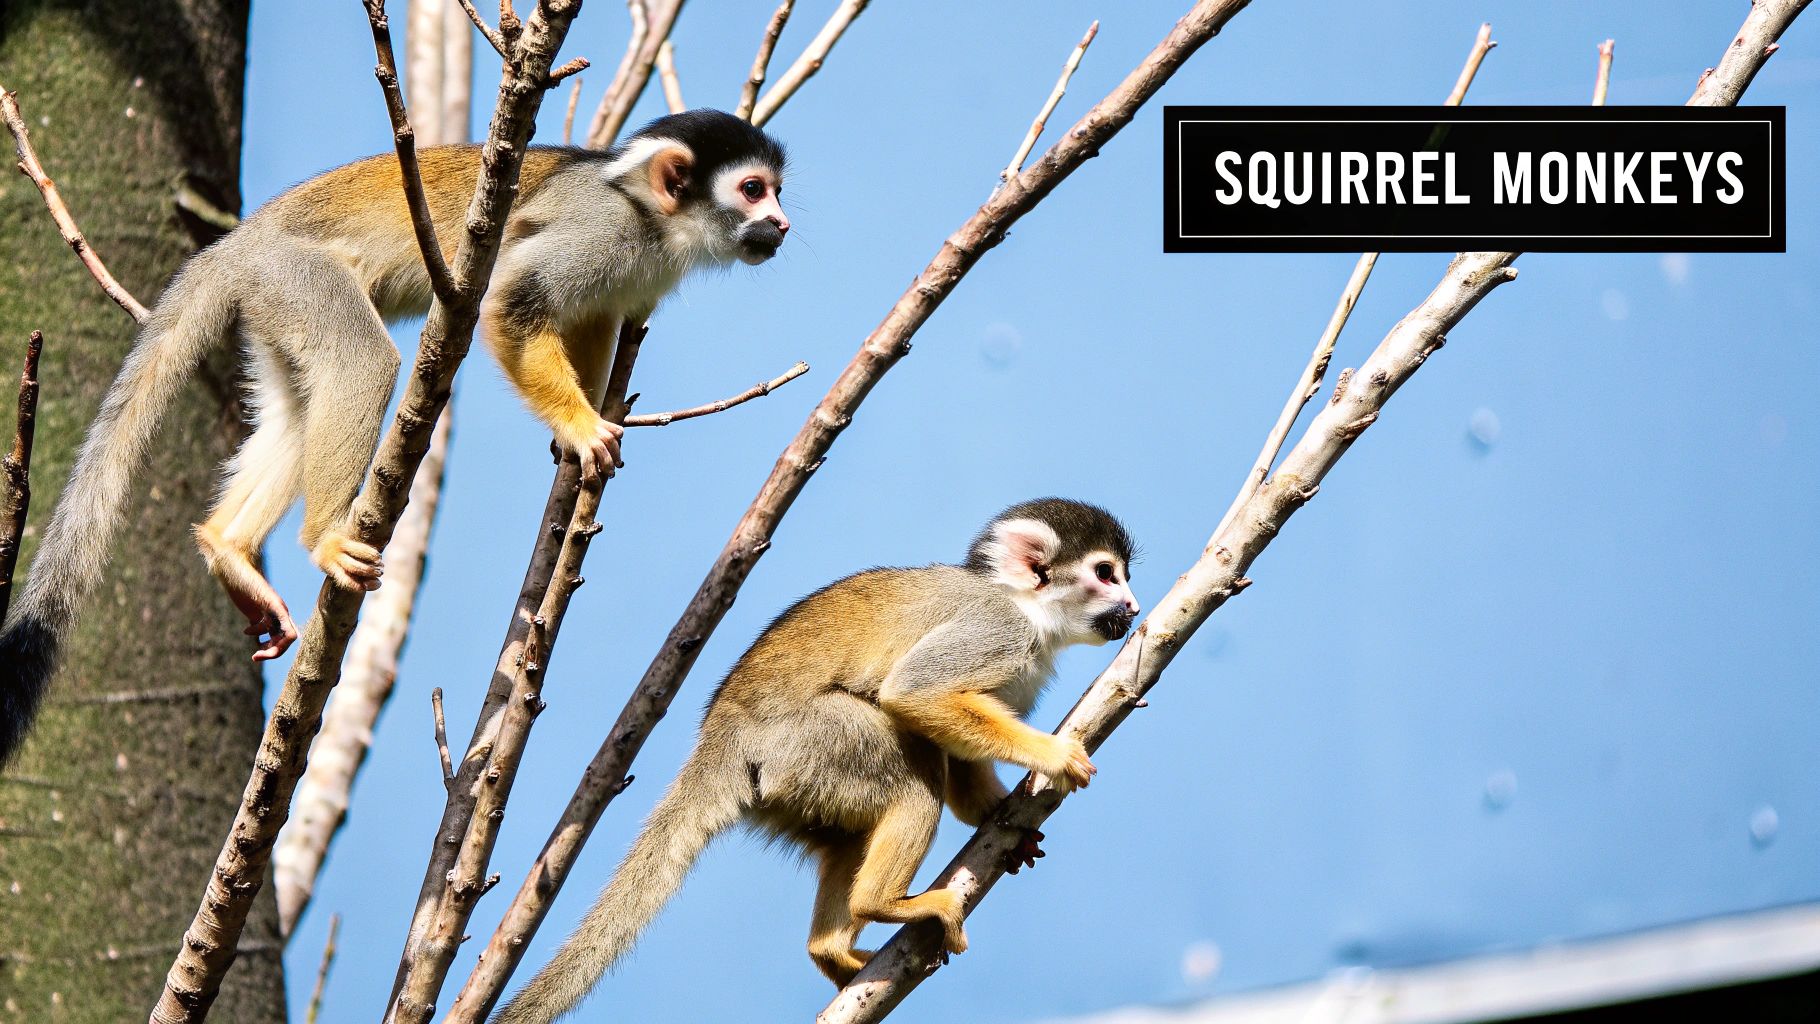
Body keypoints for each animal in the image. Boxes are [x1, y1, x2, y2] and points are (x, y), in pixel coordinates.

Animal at [0, 109, 790, 765]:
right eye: (753, 190)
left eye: (777, 192)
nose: (780, 223)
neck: (658, 224)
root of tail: (238, 241)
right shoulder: (600, 233)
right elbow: (514, 302)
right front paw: (580, 427)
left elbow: (586, 318)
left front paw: (576, 436)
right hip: (295, 273)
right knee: (362, 360)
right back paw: (323, 538)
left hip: (269, 301)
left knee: (301, 402)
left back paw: (228, 548)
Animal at [493, 498, 1141, 1024]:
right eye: (1104, 573)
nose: (1133, 605)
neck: (1028, 611)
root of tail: (721, 738)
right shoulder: (996, 629)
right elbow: (916, 694)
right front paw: (1053, 756)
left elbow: (952, 748)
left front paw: (996, 813)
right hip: (804, 745)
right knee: (911, 776)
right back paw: (881, 903)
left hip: (794, 783)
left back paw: (832, 952)